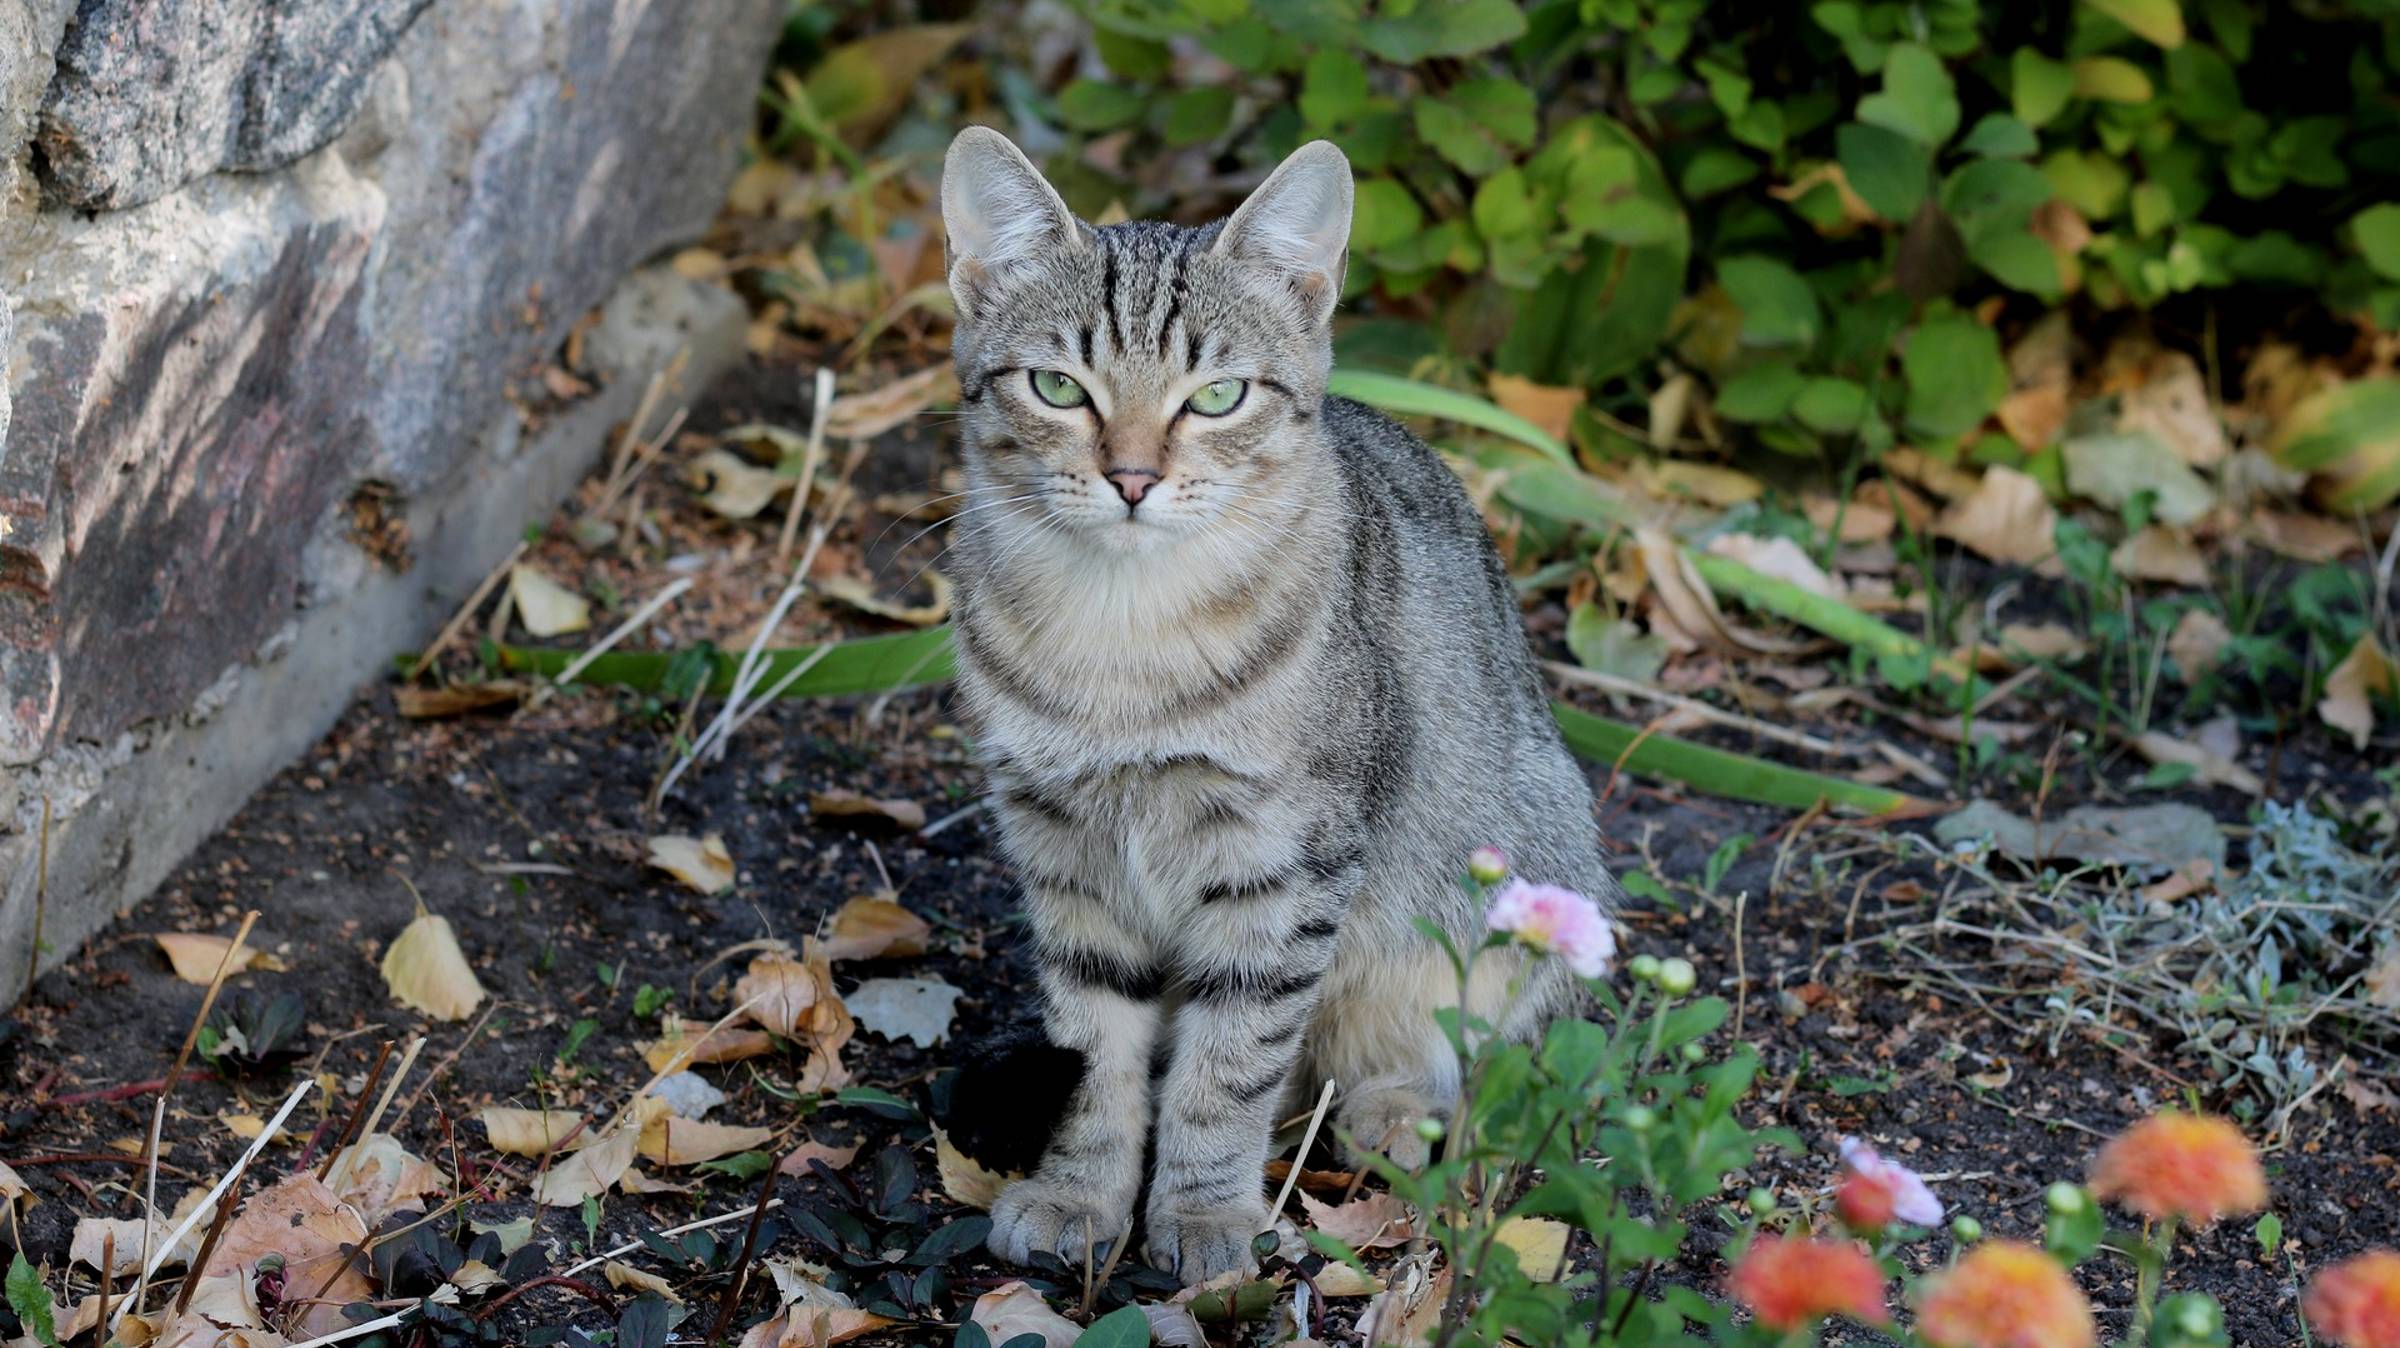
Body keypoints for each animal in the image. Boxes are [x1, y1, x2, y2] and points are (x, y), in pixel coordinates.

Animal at [936, 128, 1612, 1276]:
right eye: (1058, 386)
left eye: (1217, 397)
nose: (1130, 477)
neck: (1122, 644)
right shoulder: (1062, 850)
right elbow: (1092, 1043)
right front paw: (1082, 1191)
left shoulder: (1285, 865)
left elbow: (1232, 1063)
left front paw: (1205, 1212)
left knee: (1474, 1062)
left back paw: (1392, 1111)